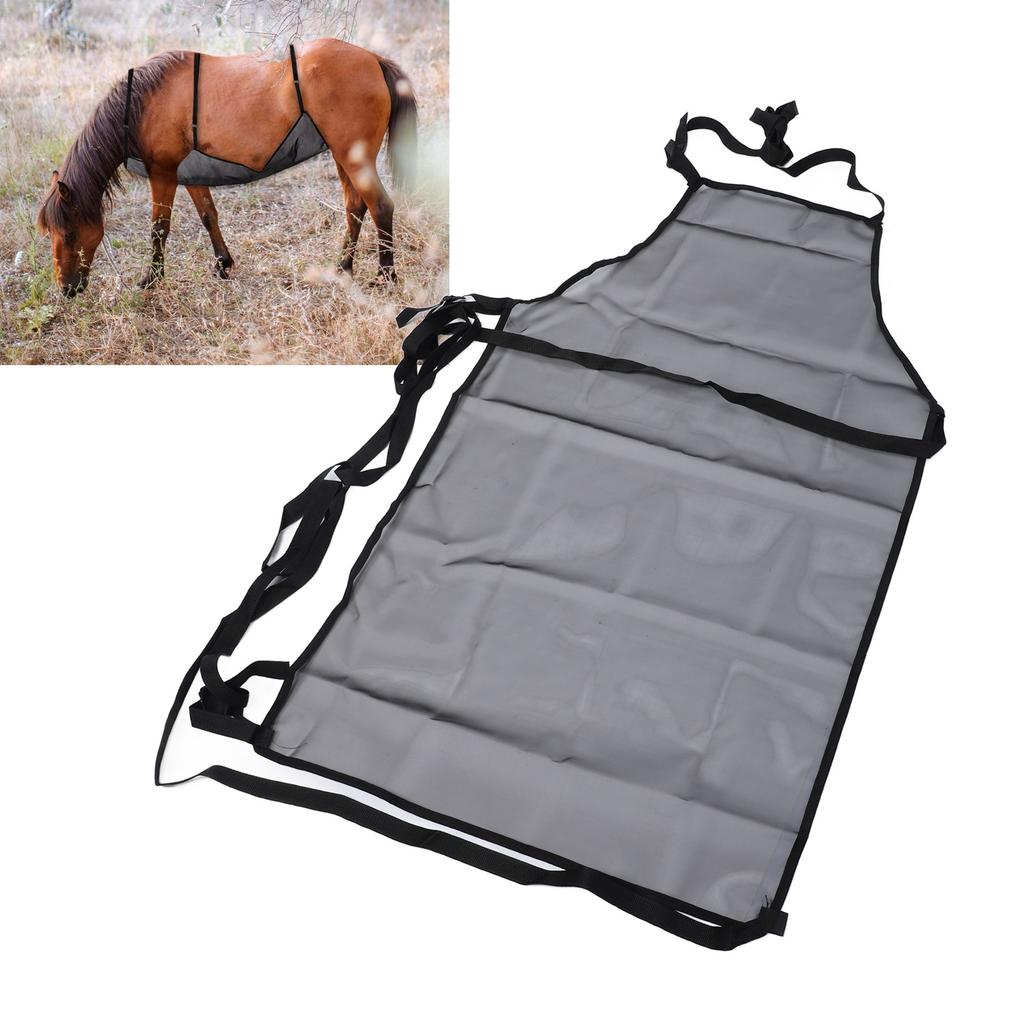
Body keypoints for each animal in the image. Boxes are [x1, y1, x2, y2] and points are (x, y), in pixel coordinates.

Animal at [36, 39, 417, 297]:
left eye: (69, 234)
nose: (66, 289)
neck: (144, 102)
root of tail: (374, 59)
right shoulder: (189, 175)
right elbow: (208, 215)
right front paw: (223, 263)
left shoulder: (163, 174)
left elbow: (159, 228)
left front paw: (152, 278)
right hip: (343, 158)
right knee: (355, 208)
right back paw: (342, 269)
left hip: (353, 159)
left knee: (380, 206)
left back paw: (385, 276)